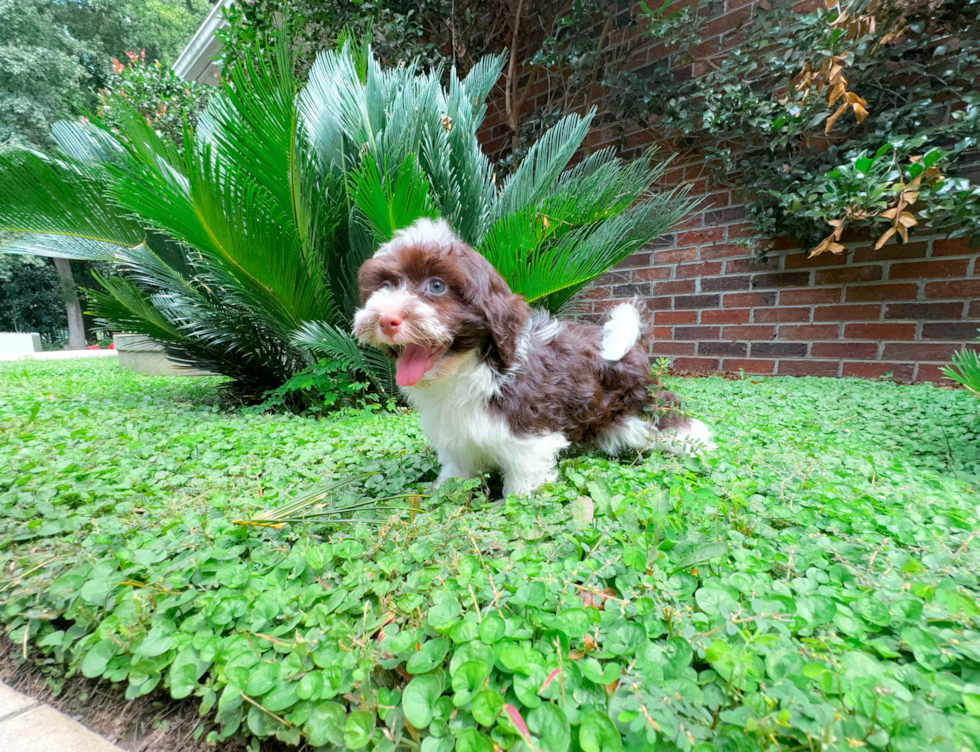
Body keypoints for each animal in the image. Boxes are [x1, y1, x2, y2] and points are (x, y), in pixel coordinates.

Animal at [352, 217, 712, 496]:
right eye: (385, 286)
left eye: (436, 286)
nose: (386, 319)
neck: (470, 368)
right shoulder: (455, 434)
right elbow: (457, 469)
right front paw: (445, 490)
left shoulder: (529, 429)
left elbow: (525, 475)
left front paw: (517, 499)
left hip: (642, 402)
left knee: (672, 419)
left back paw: (699, 445)